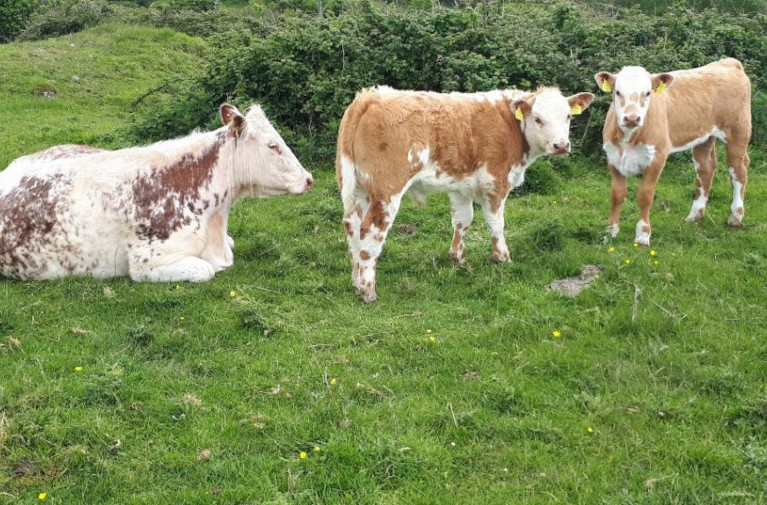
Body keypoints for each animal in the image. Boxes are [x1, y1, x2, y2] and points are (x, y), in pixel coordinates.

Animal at [334, 84, 592, 302]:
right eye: (538, 119)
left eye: (568, 116)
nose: (561, 145)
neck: (511, 126)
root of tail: (370, 96)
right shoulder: (496, 182)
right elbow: (496, 223)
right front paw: (502, 257)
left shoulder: (461, 186)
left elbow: (462, 220)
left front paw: (457, 257)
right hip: (387, 190)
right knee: (371, 231)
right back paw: (367, 290)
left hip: (359, 188)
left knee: (352, 225)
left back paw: (356, 281)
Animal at [596, 58, 752, 245]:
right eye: (618, 92)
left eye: (647, 93)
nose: (632, 118)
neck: (628, 138)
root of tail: (728, 62)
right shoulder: (613, 158)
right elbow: (616, 195)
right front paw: (610, 232)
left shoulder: (657, 158)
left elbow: (645, 196)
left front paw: (642, 236)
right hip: (704, 137)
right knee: (706, 169)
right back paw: (695, 215)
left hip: (738, 132)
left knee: (738, 172)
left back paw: (735, 218)